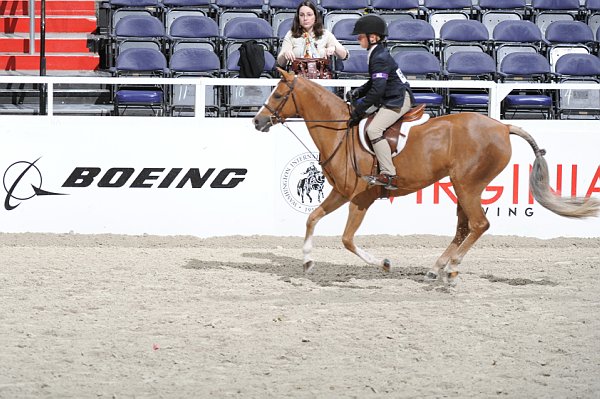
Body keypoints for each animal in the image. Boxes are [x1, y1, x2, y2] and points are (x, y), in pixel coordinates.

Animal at [253, 69, 600, 282]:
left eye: (279, 94)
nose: (257, 121)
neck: (342, 132)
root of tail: (502, 126)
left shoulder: (360, 199)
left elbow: (347, 240)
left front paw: (384, 264)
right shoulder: (340, 192)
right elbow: (312, 218)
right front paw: (307, 260)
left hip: (468, 186)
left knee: (479, 225)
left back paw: (451, 269)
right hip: (464, 188)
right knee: (464, 228)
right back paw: (438, 268)